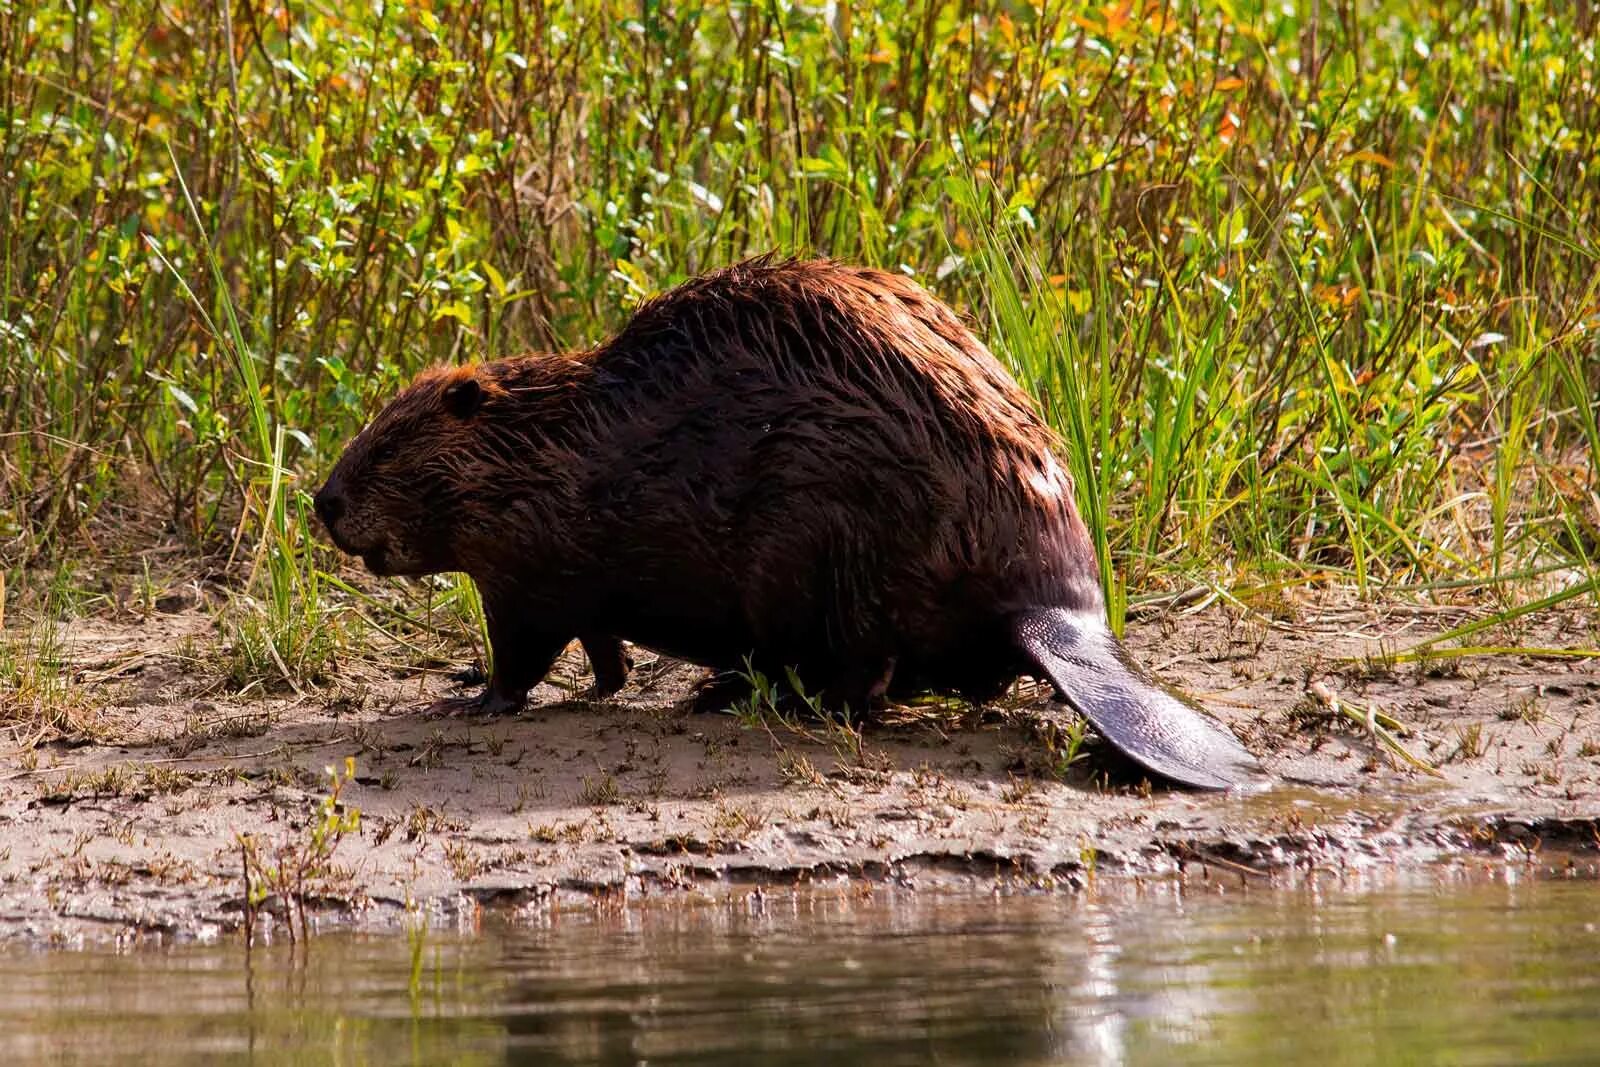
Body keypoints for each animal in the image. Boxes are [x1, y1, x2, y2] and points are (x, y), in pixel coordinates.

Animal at [312, 257, 1260, 790]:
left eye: (387, 444)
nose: (323, 503)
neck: (553, 442)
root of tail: (1057, 611)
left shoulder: (527, 565)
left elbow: (521, 650)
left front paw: (468, 697)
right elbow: (600, 648)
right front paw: (602, 682)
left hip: (824, 547)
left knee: (860, 680)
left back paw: (728, 696)